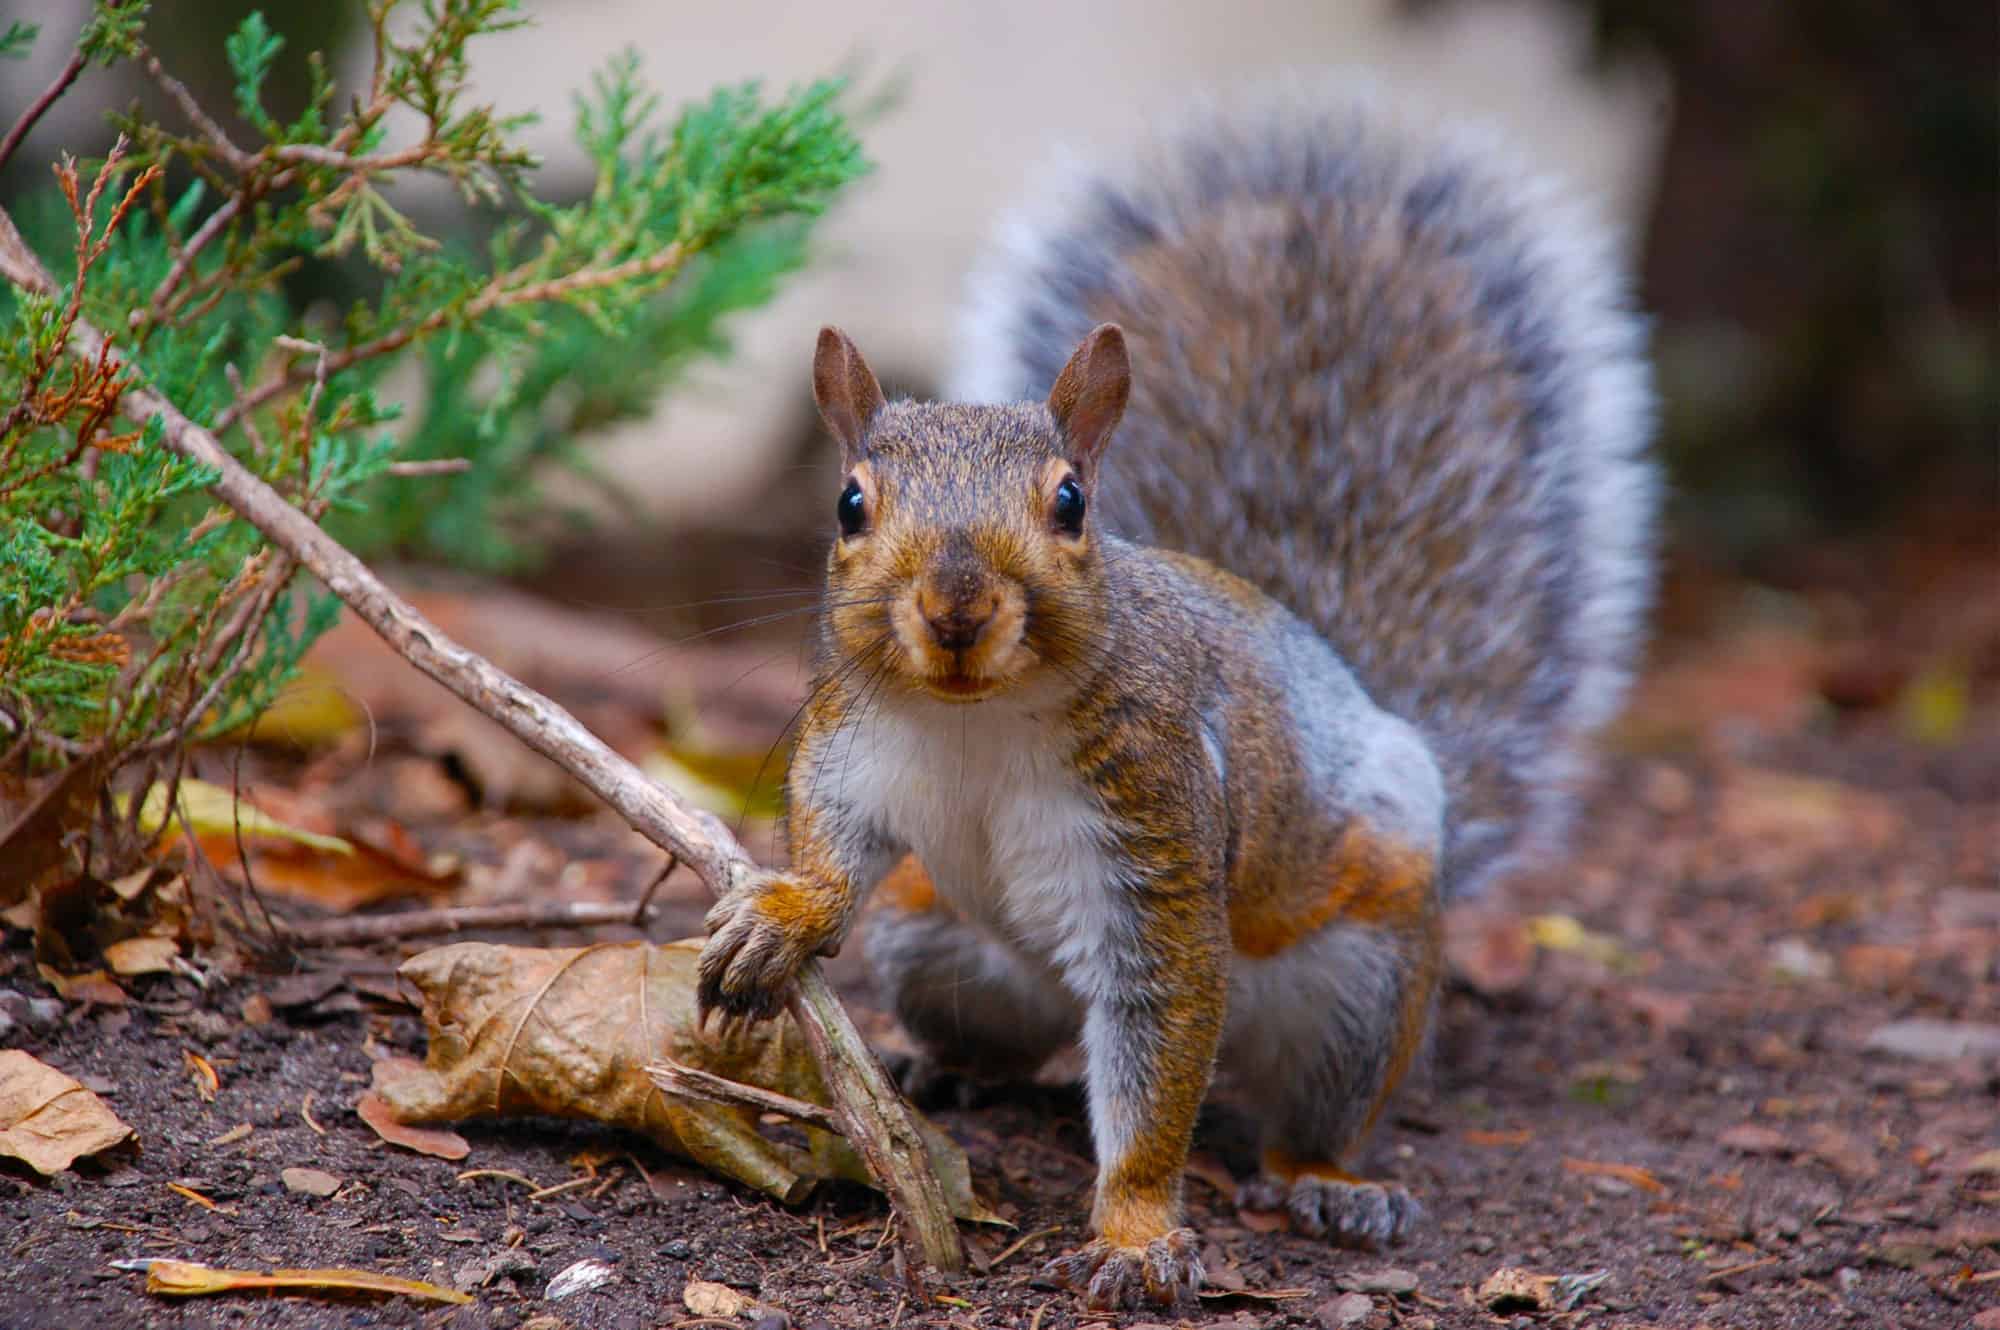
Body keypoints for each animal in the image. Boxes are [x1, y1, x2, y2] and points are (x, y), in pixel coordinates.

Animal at [698, 85, 1657, 1311]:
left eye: (1070, 502)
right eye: (849, 503)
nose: (957, 608)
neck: (974, 722)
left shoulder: (1155, 826)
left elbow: (1158, 1055)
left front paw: (1138, 1233)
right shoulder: (849, 739)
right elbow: (829, 839)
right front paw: (784, 917)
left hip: (1361, 979)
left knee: (1299, 1103)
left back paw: (1329, 1183)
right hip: (934, 942)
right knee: (1001, 1031)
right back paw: (940, 1064)